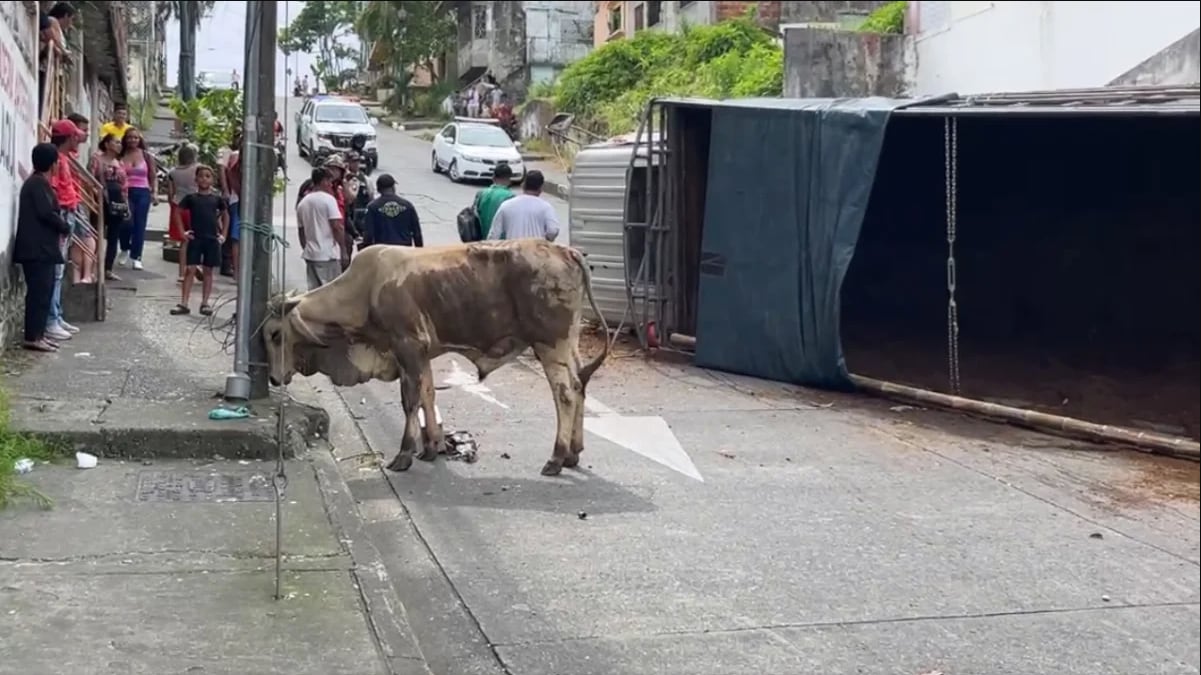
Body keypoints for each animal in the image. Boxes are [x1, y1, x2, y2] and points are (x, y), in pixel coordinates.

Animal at [261, 240, 610, 477]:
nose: (274, 378)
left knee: (565, 394)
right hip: (569, 346)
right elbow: (428, 395)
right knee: (580, 385)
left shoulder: (408, 348)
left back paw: (556, 457)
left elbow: (410, 401)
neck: (366, 290)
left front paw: (405, 454)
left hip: (550, 344)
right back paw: (573, 453)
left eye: (275, 334)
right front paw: (431, 447)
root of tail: (564, 250)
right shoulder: (422, 354)